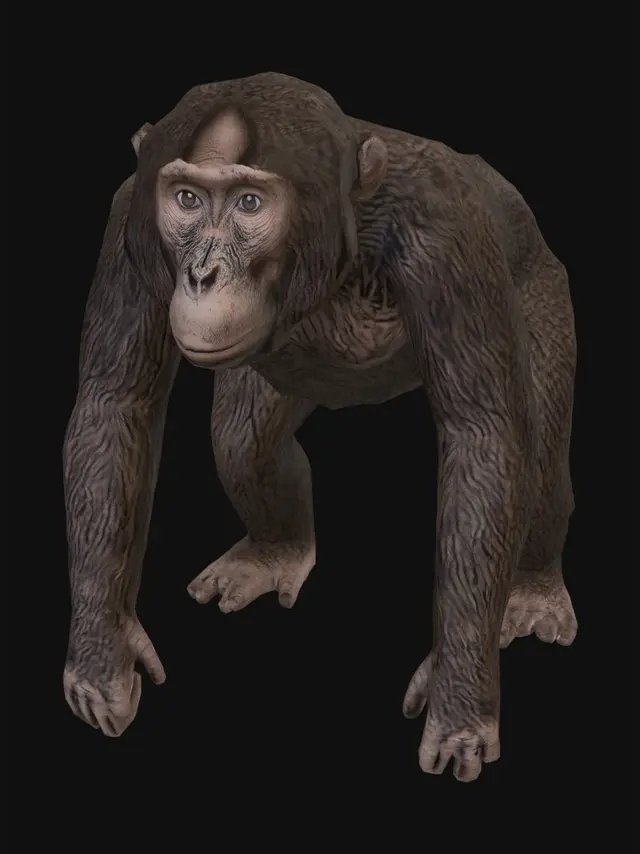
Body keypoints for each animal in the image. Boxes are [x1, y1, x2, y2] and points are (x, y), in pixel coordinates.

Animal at [62, 72, 577, 782]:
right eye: (187, 198)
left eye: (250, 203)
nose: (202, 273)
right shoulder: (126, 226)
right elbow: (116, 404)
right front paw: (101, 658)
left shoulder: (447, 236)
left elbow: (485, 437)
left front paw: (460, 701)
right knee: (243, 445)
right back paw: (273, 552)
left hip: (544, 290)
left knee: (541, 468)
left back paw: (532, 592)